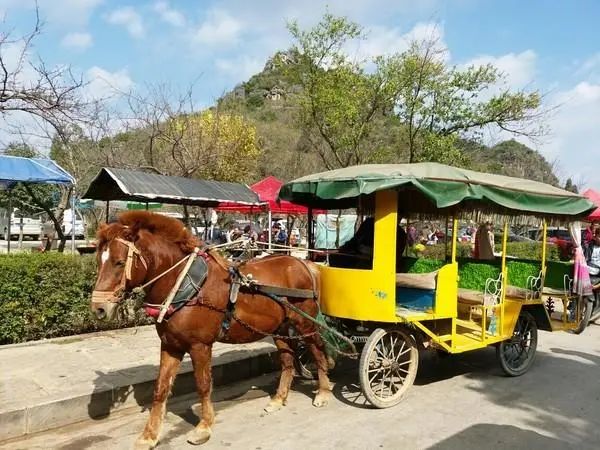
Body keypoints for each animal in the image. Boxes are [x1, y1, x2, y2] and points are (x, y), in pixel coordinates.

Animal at [91, 212, 330, 450]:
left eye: (120, 262)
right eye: (99, 260)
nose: (99, 308)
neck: (183, 283)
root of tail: (303, 263)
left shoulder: (200, 346)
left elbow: (203, 385)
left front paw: (204, 427)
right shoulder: (170, 345)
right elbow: (160, 387)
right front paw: (149, 435)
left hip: (305, 324)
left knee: (318, 350)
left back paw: (323, 392)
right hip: (279, 327)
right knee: (288, 360)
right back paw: (279, 398)